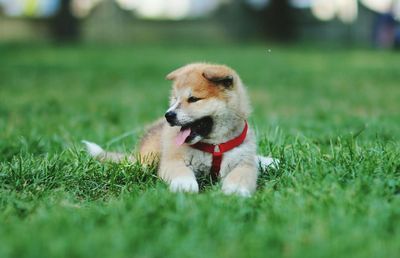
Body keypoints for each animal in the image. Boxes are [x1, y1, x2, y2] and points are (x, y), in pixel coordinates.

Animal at [83, 63, 278, 197]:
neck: (214, 146)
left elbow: (242, 174)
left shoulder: (243, 162)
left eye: (193, 99)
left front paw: (236, 190)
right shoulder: (173, 160)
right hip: (149, 159)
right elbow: (181, 173)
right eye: (175, 99)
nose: (168, 115)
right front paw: (185, 186)